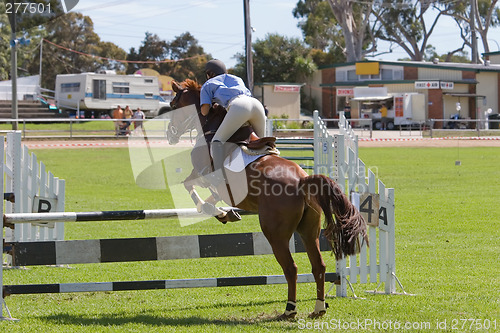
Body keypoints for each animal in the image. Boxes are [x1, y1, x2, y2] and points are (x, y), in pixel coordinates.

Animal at [167, 78, 368, 320]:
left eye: (172, 105)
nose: (169, 135)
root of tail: (302, 180)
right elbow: (209, 194)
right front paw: (225, 213)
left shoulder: (202, 172)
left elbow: (190, 186)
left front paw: (210, 209)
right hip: (309, 230)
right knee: (318, 265)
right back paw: (318, 308)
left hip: (275, 234)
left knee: (291, 268)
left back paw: (290, 309)